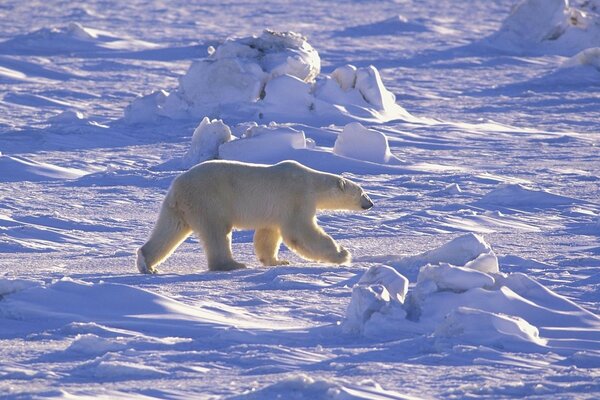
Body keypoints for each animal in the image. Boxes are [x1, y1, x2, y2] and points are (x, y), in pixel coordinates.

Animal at [137, 159, 372, 272]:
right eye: (362, 192)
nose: (370, 203)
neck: (312, 182)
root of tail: (177, 187)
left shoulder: (275, 211)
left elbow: (268, 235)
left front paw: (277, 261)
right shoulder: (296, 197)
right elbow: (300, 231)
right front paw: (343, 254)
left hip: (177, 208)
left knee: (168, 230)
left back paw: (147, 264)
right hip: (209, 200)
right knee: (217, 232)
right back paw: (232, 264)